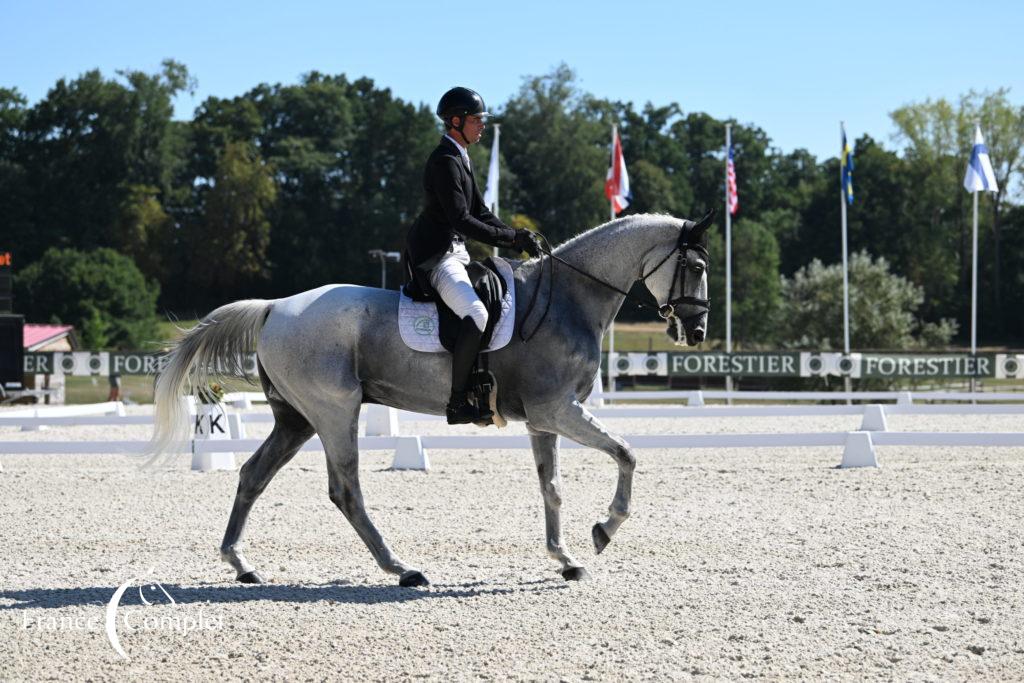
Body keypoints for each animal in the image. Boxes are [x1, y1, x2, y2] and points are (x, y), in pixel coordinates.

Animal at [151, 214, 712, 589]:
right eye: (695, 264)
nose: (697, 330)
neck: (569, 298)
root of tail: (274, 307)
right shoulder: (557, 411)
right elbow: (626, 454)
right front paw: (603, 530)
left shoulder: (544, 420)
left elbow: (551, 488)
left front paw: (566, 558)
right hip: (334, 411)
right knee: (345, 491)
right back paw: (402, 569)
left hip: (296, 419)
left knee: (254, 475)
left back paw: (241, 564)